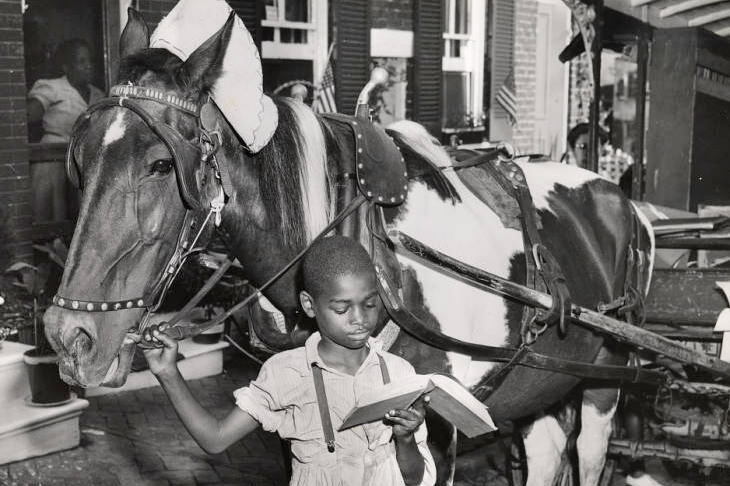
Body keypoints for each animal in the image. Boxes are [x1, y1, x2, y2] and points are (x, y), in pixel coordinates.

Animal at [44, 11, 656, 486]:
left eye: (161, 164)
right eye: (78, 159)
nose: (70, 338)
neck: (372, 245)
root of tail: (622, 202)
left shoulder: (437, 418)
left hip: (605, 380)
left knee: (589, 452)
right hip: (544, 381)